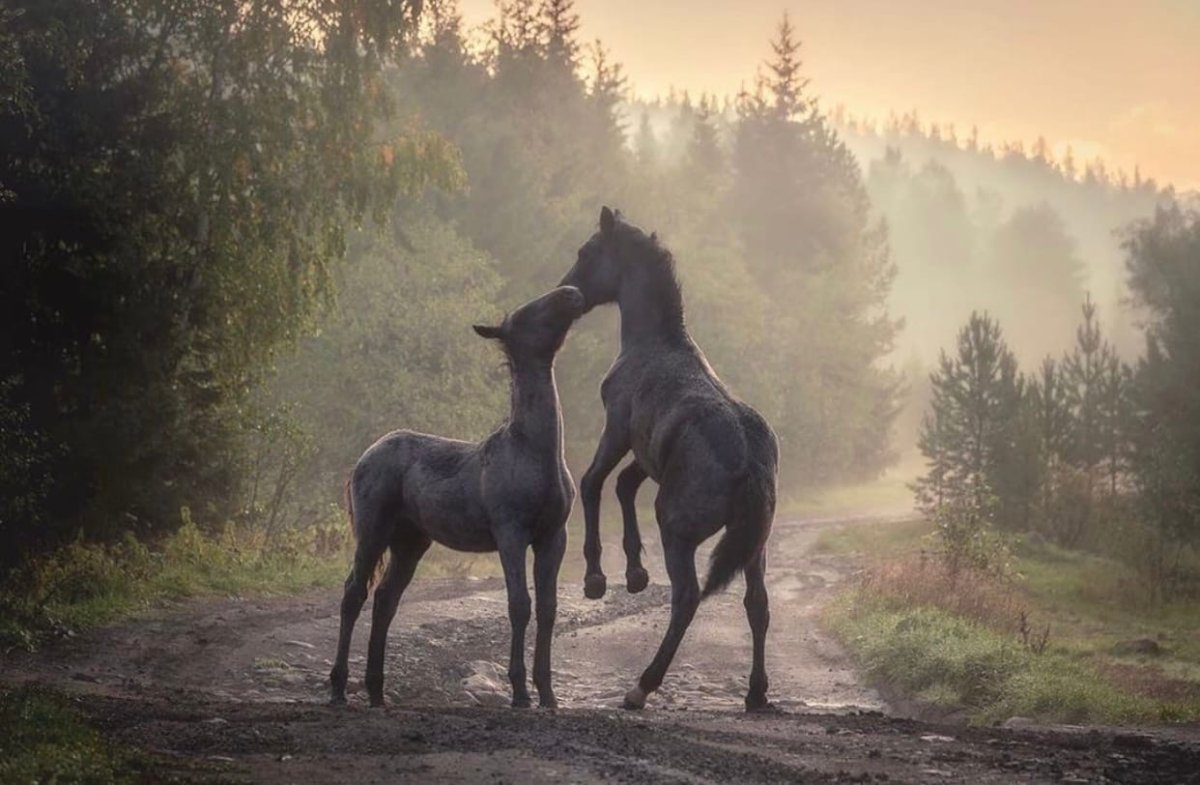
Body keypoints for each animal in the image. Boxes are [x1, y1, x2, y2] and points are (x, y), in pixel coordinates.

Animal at [329, 286, 585, 709]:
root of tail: (366, 455)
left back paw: (377, 690)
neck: (536, 452)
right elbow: (520, 605)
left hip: (409, 542)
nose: (572, 293)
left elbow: (548, 609)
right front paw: (519, 692)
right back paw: (337, 688)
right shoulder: (511, 534)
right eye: (528, 312)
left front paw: (548, 694)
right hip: (373, 533)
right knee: (354, 595)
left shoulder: (553, 537)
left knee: (385, 600)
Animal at [560, 207, 779, 711]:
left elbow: (594, 481)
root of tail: (750, 464)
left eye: (587, 252)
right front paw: (635, 572)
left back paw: (641, 686)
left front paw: (596, 578)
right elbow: (624, 486)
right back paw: (755, 693)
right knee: (757, 605)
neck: (657, 344)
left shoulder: (617, 430)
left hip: (677, 530)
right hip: (754, 547)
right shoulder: (646, 454)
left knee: (687, 598)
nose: (569, 293)